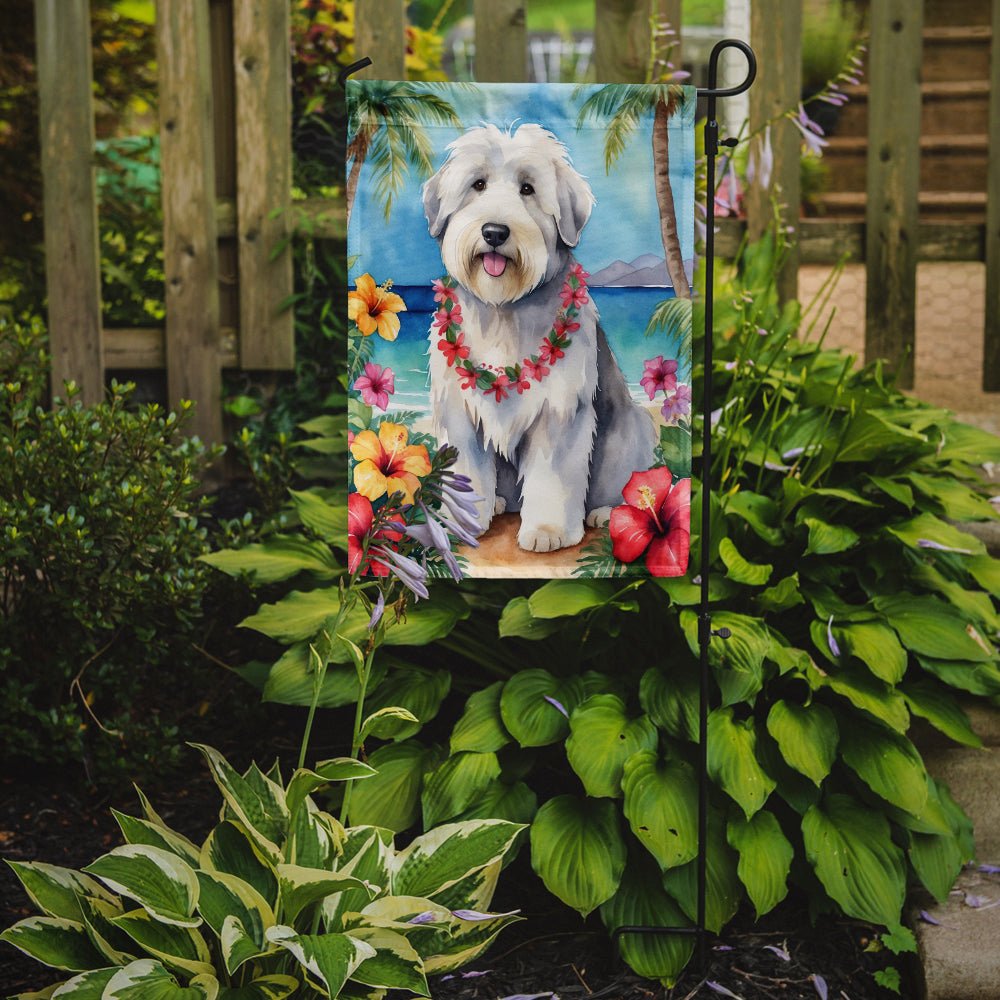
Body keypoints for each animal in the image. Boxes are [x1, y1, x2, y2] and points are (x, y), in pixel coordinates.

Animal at [422, 123, 656, 556]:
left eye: (528, 189)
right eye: (478, 184)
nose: (494, 232)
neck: (503, 311)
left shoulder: (559, 413)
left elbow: (553, 475)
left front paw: (548, 531)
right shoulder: (459, 411)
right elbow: (466, 469)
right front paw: (461, 523)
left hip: (630, 434)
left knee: (624, 485)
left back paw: (604, 512)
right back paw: (498, 503)